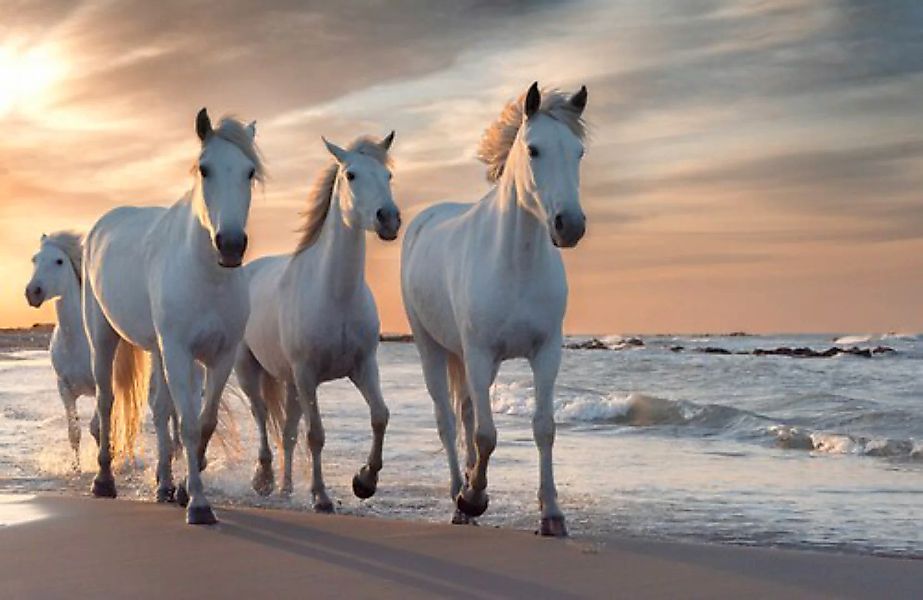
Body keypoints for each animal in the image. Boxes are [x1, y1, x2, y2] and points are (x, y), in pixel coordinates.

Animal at [25, 232, 99, 462]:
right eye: (35, 259)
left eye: (59, 261)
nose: (33, 292)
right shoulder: (64, 389)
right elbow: (74, 434)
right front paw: (76, 468)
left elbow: (98, 429)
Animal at [84, 109, 264, 524]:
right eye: (205, 169)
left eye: (249, 172)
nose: (231, 245)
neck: (207, 276)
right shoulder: (179, 352)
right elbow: (188, 424)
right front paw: (198, 504)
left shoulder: (220, 356)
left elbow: (203, 423)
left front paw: (184, 490)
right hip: (103, 337)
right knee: (106, 401)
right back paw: (104, 480)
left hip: (157, 349)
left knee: (159, 408)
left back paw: (164, 485)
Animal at [233, 132, 398, 510]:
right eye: (351, 175)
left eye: (388, 175)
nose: (389, 219)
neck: (334, 294)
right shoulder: (308, 374)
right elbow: (316, 435)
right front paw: (321, 496)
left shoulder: (364, 367)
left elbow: (380, 416)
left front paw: (365, 481)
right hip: (251, 371)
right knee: (261, 416)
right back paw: (263, 480)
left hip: (291, 384)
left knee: (287, 433)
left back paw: (285, 488)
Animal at [400, 83, 588, 536]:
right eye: (534, 150)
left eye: (579, 152)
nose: (570, 225)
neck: (516, 263)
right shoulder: (480, 352)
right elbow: (486, 435)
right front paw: (473, 497)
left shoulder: (545, 353)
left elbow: (543, 428)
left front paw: (552, 513)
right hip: (432, 349)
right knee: (449, 421)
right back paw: (459, 496)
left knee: (466, 413)